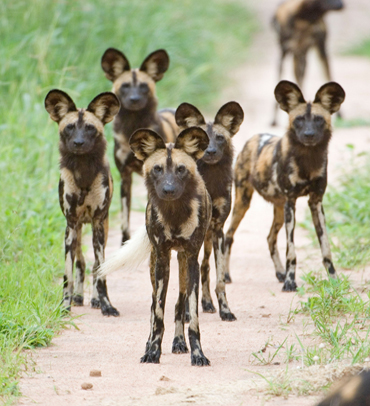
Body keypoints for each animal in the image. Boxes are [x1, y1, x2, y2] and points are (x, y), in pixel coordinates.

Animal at [44, 89, 120, 318]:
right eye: (70, 127)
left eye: (89, 128)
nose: (78, 143)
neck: (83, 170)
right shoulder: (71, 224)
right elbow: (67, 274)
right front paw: (65, 305)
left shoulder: (98, 223)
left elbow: (101, 272)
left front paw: (106, 305)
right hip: (75, 231)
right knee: (81, 262)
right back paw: (78, 296)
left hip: (101, 229)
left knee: (95, 266)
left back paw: (94, 299)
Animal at [98, 127, 212, 368]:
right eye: (158, 169)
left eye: (181, 169)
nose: (168, 189)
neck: (175, 213)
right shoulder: (161, 259)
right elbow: (158, 313)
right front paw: (152, 353)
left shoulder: (192, 260)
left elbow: (193, 316)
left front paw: (198, 355)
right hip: (156, 266)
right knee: (153, 307)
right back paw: (149, 344)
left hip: (182, 265)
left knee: (179, 304)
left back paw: (179, 342)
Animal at [99, 47, 178, 244]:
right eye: (125, 86)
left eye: (143, 86)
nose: (134, 99)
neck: (133, 127)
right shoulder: (125, 177)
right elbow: (125, 220)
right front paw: (124, 243)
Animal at [175, 100, 244, 320]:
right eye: (202, 140)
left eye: (219, 138)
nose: (210, 151)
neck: (211, 181)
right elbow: (188, 282)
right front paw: (188, 313)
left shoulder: (218, 230)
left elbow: (220, 279)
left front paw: (225, 310)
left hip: (206, 238)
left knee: (205, 267)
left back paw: (206, 303)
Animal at [224, 80, 346, 292]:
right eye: (298, 120)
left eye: (318, 120)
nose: (308, 134)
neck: (308, 160)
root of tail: (253, 138)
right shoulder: (291, 202)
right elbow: (291, 250)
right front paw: (290, 281)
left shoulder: (316, 202)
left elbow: (326, 248)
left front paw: (333, 279)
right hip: (243, 203)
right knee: (228, 236)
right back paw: (225, 275)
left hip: (279, 210)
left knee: (270, 238)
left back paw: (279, 272)